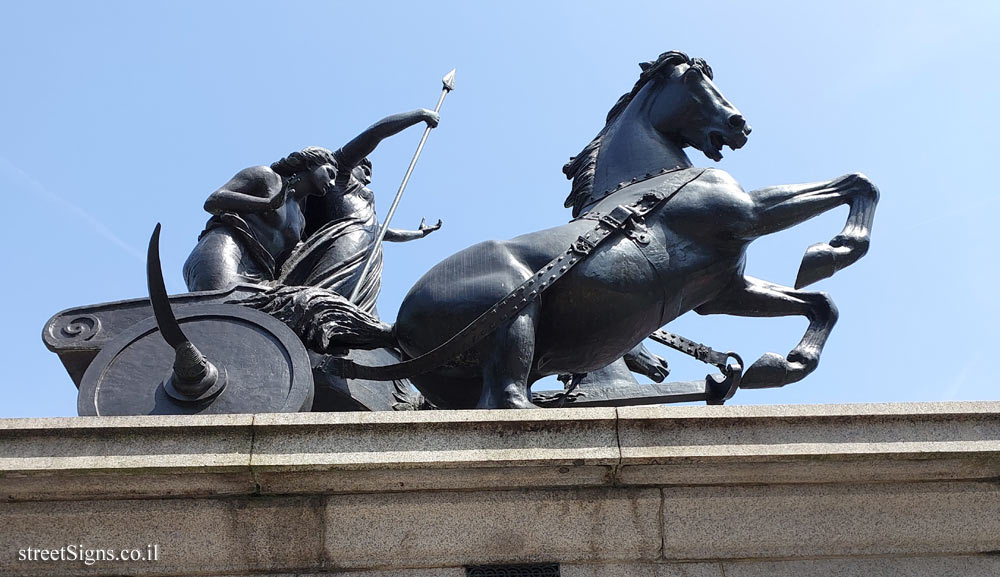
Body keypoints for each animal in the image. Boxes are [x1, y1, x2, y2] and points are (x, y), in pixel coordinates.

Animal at [258, 50, 876, 410]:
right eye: (698, 80)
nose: (739, 124)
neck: (652, 182)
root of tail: (395, 324)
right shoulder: (747, 213)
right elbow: (855, 183)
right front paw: (834, 249)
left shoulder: (723, 290)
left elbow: (820, 303)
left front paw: (782, 365)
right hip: (516, 319)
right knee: (511, 401)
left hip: (461, 375)